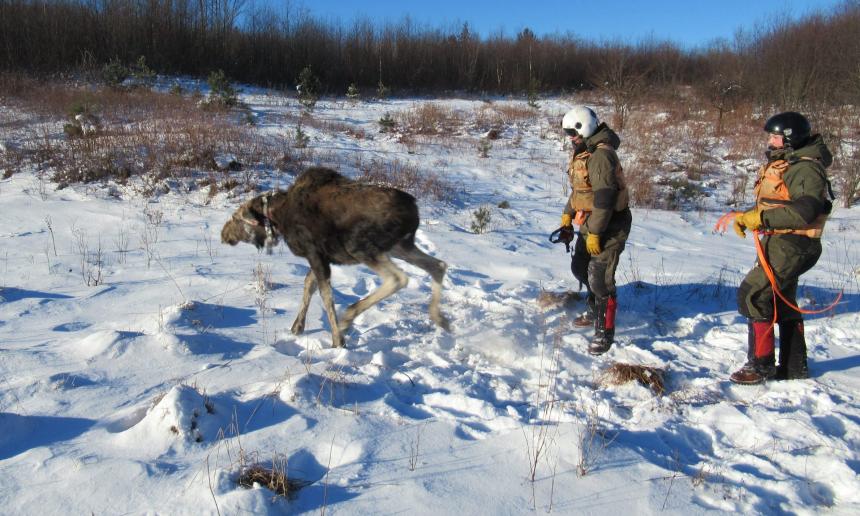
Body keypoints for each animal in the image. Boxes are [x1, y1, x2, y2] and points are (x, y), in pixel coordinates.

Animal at [220, 167, 450, 348]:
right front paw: (297, 327)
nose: (223, 234)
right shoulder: (321, 256)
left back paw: (348, 317)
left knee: (398, 278)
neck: (279, 219)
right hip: (400, 246)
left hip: (360, 245)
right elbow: (309, 286)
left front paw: (337, 340)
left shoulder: (315, 254)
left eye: (236, 218)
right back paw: (439, 317)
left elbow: (325, 295)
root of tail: (414, 211)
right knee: (438, 265)